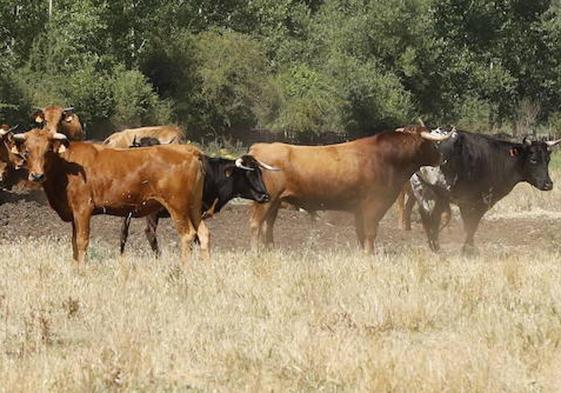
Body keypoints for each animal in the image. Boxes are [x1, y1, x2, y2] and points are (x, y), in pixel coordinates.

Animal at [11, 129, 203, 264]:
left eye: (48, 151)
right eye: (26, 152)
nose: (37, 176)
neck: (65, 166)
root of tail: (188, 150)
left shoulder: (83, 209)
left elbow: (81, 241)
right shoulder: (73, 213)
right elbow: (73, 244)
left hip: (177, 206)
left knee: (187, 235)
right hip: (194, 207)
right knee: (203, 234)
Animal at [120, 138, 276, 254]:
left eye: (260, 172)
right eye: (248, 173)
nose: (266, 196)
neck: (213, 175)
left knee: (125, 233)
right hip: (151, 213)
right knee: (149, 232)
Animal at [249, 126, 450, 254]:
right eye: (431, 144)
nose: (442, 157)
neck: (387, 158)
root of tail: (257, 148)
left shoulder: (359, 210)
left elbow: (361, 234)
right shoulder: (373, 206)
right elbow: (370, 233)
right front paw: (369, 254)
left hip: (275, 203)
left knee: (268, 226)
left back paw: (270, 250)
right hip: (266, 202)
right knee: (256, 224)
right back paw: (256, 252)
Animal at [410, 127, 556, 253]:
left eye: (548, 159)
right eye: (533, 159)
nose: (548, 184)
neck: (499, 159)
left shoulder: (468, 201)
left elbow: (469, 223)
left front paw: (469, 247)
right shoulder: (479, 200)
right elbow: (472, 223)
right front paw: (468, 248)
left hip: (421, 188)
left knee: (427, 215)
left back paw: (434, 245)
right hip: (440, 192)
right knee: (433, 216)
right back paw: (436, 246)